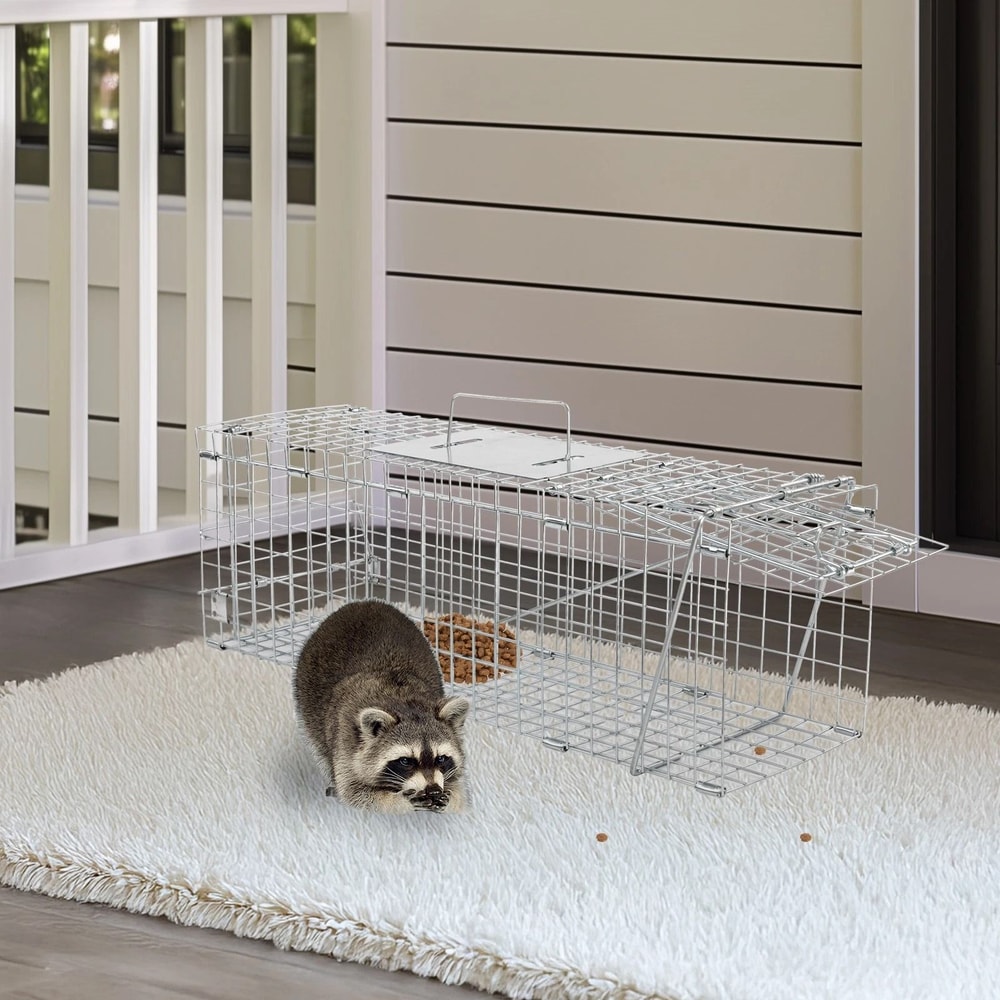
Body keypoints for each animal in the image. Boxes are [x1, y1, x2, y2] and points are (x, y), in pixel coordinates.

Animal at [293, 599, 470, 813]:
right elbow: (353, 792)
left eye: (441, 758)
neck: (403, 700)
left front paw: (450, 798)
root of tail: (364, 603)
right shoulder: (346, 739)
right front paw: (399, 801)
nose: (433, 789)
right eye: (405, 761)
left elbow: (460, 793)